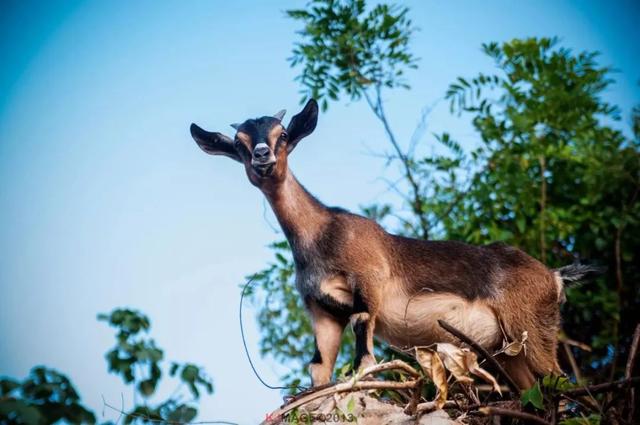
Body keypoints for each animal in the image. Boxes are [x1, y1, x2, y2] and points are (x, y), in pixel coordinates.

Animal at [191, 98, 600, 388]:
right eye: (240, 144)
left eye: (284, 135)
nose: (263, 157)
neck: (322, 234)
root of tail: (553, 276)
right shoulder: (321, 309)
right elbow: (319, 369)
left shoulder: (368, 284)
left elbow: (365, 357)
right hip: (508, 350)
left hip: (533, 328)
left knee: (562, 382)